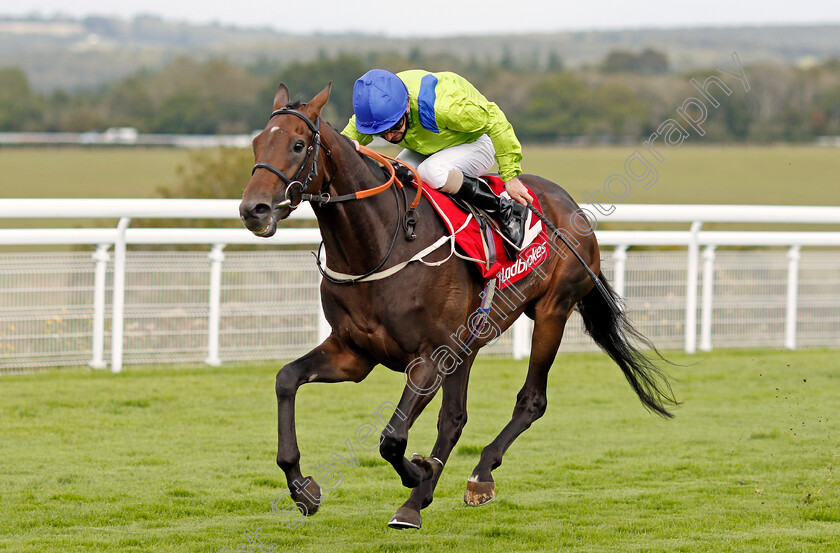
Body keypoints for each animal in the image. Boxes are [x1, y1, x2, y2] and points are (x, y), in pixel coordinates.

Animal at [238, 84, 676, 528]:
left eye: (297, 145)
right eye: (256, 143)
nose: (253, 210)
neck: (380, 243)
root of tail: (569, 204)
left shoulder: (430, 355)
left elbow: (392, 438)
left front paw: (420, 471)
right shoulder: (353, 353)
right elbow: (286, 379)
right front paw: (302, 487)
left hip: (552, 311)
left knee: (530, 401)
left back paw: (474, 477)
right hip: (468, 343)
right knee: (454, 419)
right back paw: (418, 501)